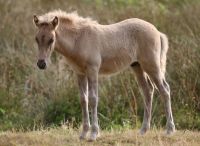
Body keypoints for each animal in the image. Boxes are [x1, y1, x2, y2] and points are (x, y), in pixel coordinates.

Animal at [33, 10, 176, 140]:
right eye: (36, 39)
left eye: (51, 39)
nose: (41, 64)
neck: (79, 40)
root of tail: (157, 31)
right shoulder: (80, 73)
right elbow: (83, 100)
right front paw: (83, 133)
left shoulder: (93, 71)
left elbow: (93, 99)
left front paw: (94, 134)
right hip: (137, 66)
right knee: (148, 91)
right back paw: (143, 130)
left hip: (152, 66)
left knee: (164, 90)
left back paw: (169, 130)